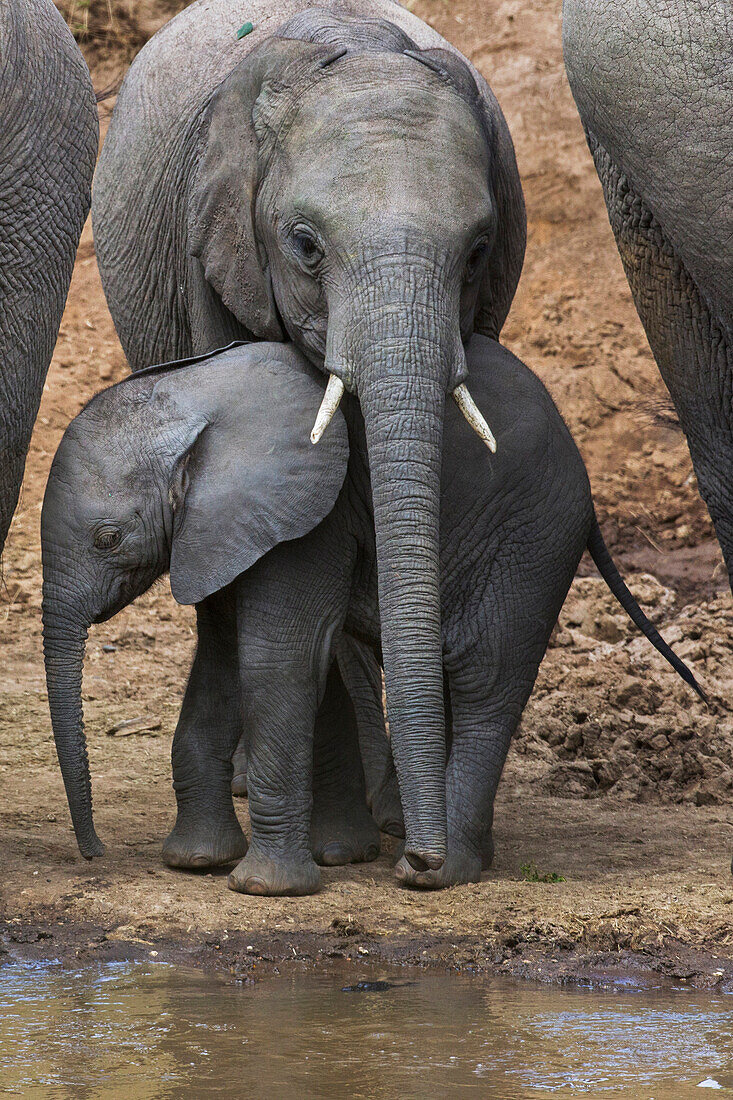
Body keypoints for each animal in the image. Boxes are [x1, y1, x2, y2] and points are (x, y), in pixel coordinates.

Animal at [41, 336, 704, 893]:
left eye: (107, 539)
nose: (95, 854)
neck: (194, 396)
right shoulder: (221, 530)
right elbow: (220, 659)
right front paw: (196, 861)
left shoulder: (314, 518)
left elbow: (277, 662)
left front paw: (265, 887)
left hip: (533, 542)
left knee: (485, 680)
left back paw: (434, 872)